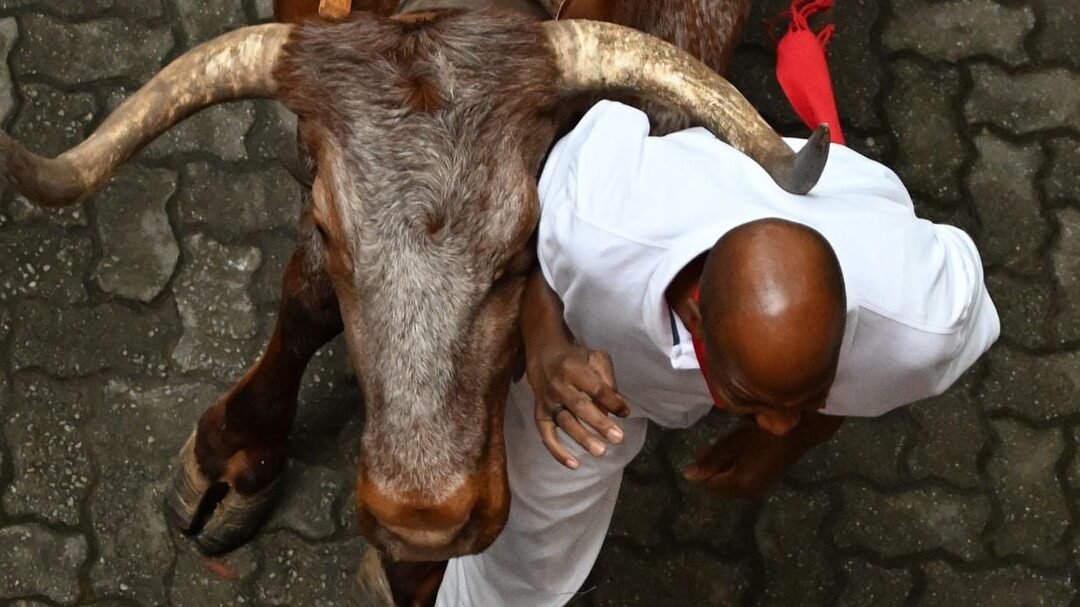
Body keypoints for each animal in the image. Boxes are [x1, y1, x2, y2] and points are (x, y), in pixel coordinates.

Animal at [0, 0, 825, 596]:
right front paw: (235, 451)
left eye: (528, 243)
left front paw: (414, 569)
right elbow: (307, 298)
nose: (425, 517)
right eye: (327, 226)